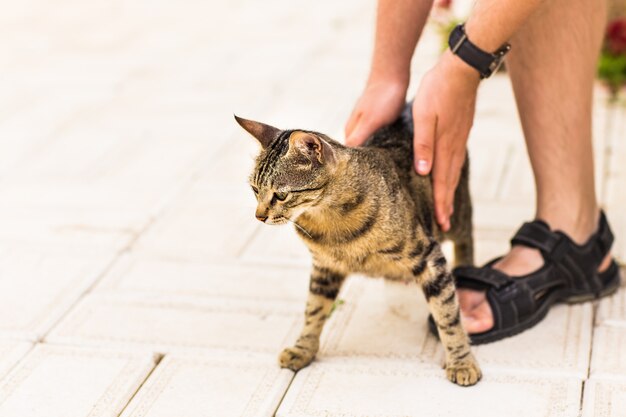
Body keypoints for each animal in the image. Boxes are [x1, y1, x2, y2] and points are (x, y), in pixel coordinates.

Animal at [235, 105, 482, 386]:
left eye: (281, 195)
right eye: (255, 189)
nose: (259, 216)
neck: (328, 222)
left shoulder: (429, 257)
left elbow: (448, 316)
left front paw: (461, 361)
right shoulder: (325, 268)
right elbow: (313, 311)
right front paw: (303, 349)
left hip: (454, 211)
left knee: (466, 239)